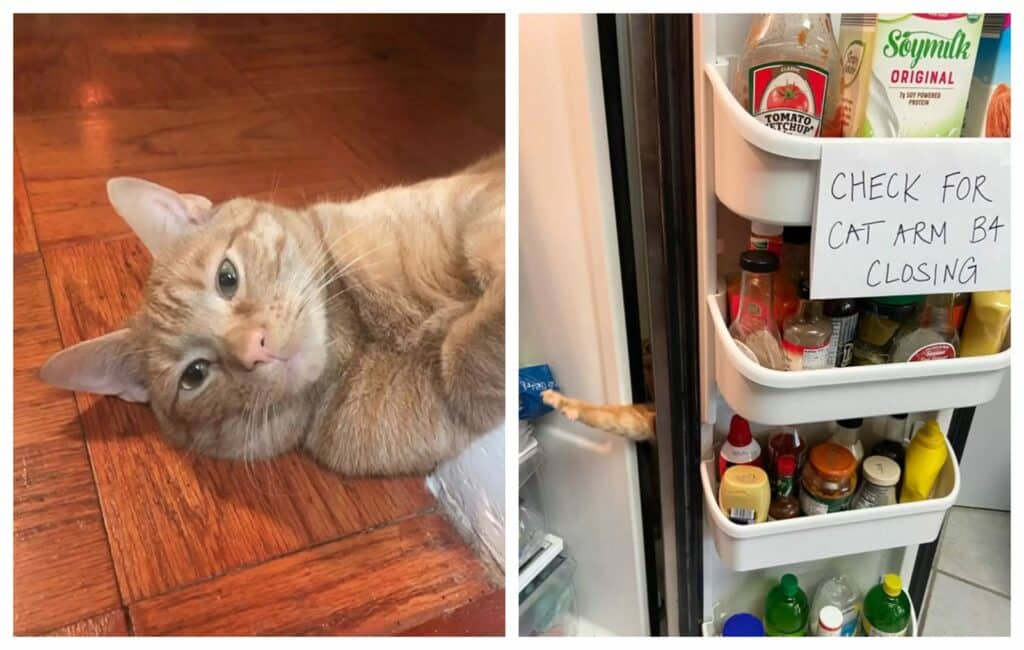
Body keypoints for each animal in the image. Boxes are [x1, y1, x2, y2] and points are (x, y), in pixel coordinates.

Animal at [41, 152, 505, 479]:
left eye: (227, 278)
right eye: (194, 375)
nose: (254, 349)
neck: (361, 332)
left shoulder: (475, 200)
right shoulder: (457, 402)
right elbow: (470, 355)